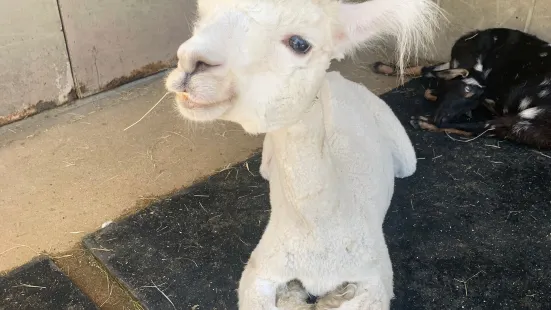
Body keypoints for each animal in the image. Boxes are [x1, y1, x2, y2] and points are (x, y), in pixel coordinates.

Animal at [374, 27, 551, 149]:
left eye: (467, 92)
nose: (438, 117)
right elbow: (427, 70)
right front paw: (382, 67)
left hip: (527, 118)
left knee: (482, 127)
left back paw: (421, 122)